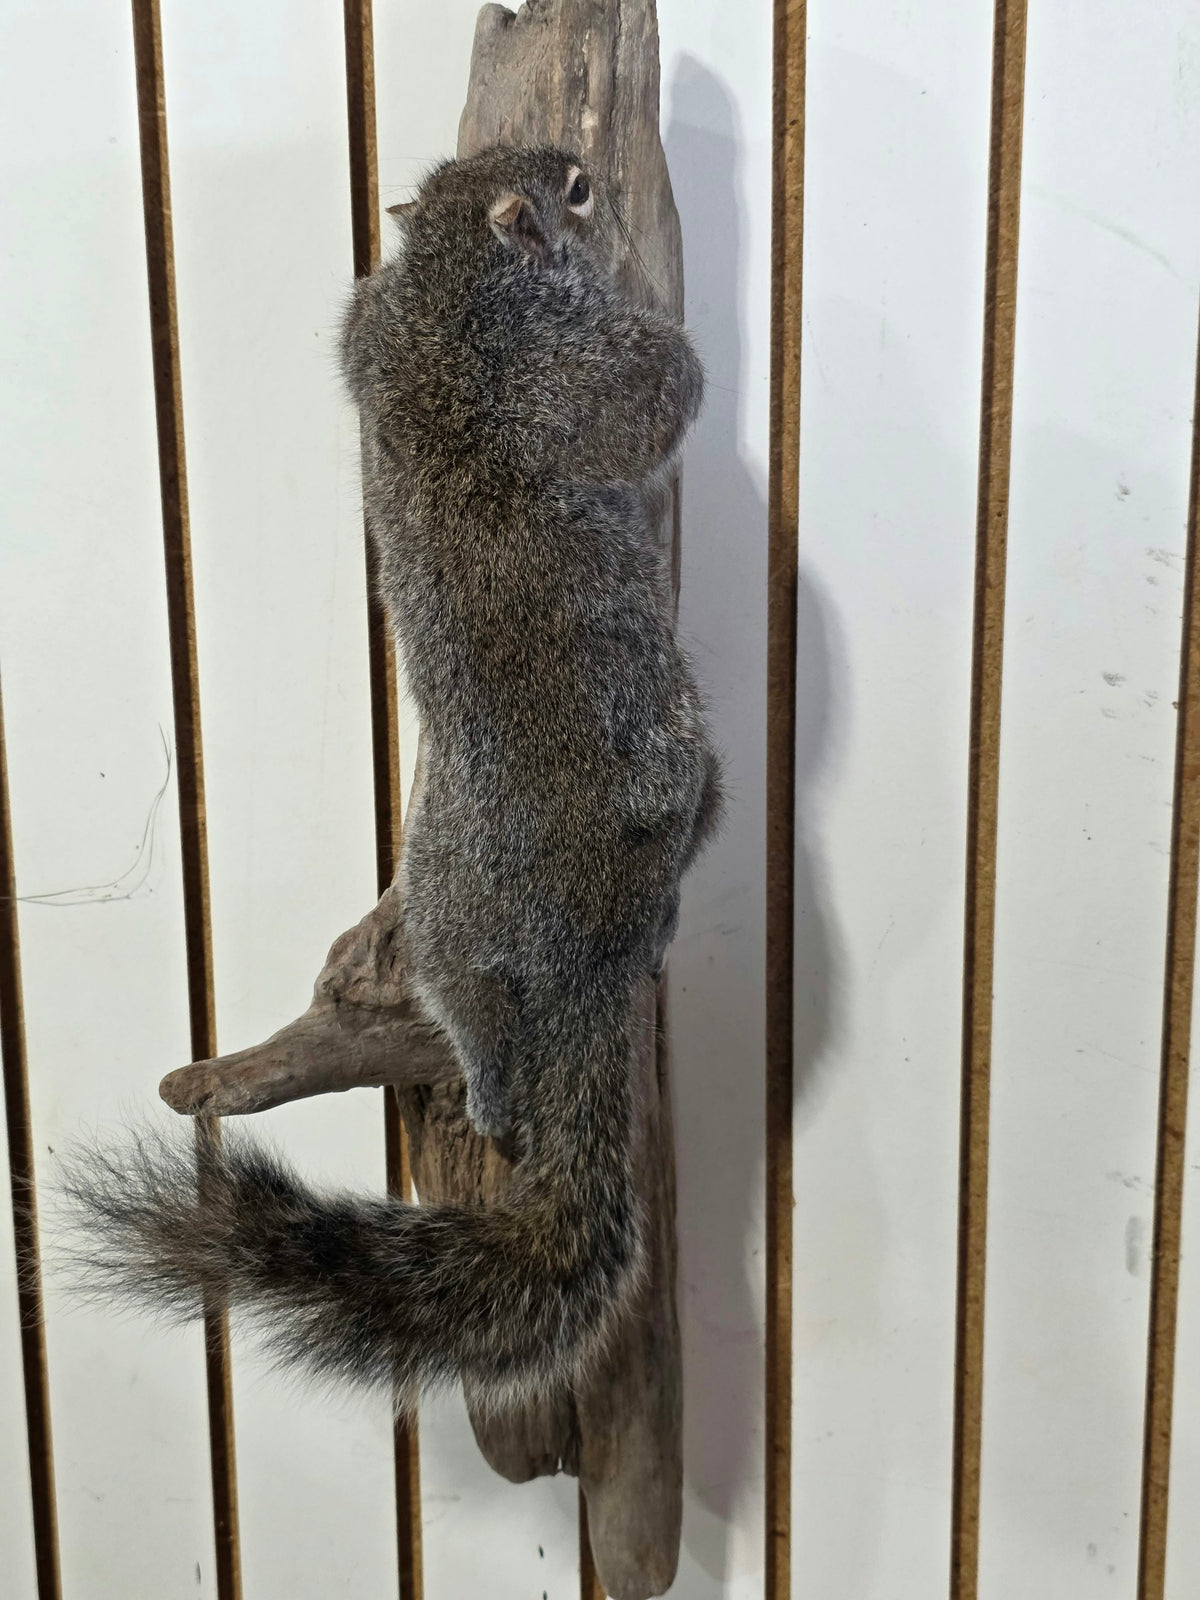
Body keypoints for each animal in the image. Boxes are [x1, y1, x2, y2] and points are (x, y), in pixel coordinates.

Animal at [68, 146, 722, 1409]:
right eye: (572, 188)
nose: (584, 175)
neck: (443, 291)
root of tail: (582, 947)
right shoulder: (560, 356)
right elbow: (658, 387)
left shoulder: (365, 326)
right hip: (682, 781)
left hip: (447, 915)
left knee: (470, 1002)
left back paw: (489, 1073)